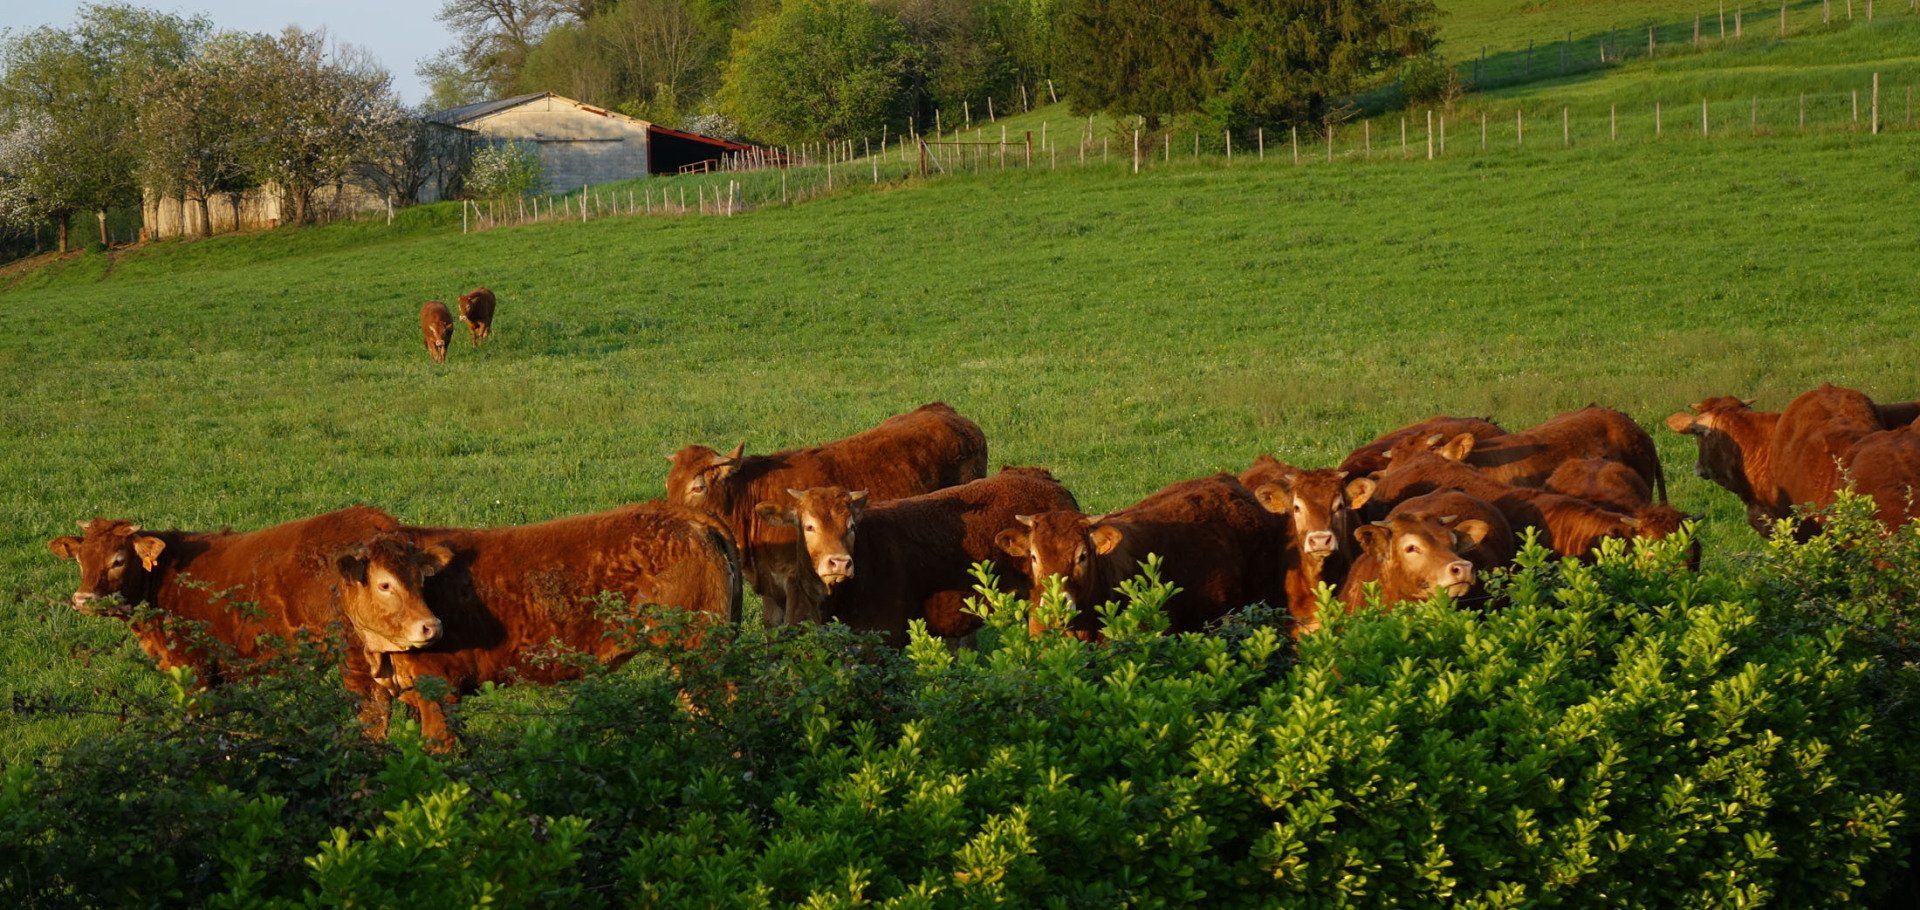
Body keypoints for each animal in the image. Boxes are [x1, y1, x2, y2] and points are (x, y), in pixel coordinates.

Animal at [666, 403, 988, 624]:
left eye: (698, 487)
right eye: (668, 485)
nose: (672, 518)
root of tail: (944, 411)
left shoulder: (797, 584)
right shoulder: (771, 590)